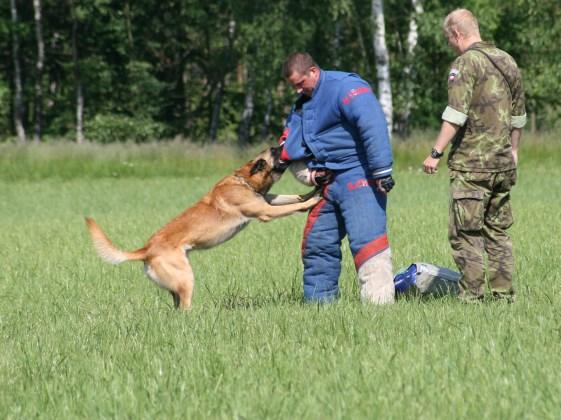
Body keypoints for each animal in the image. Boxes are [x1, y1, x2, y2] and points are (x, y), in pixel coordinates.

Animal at [84, 147, 320, 308]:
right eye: (276, 150)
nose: (287, 146)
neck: (243, 181)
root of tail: (145, 250)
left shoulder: (267, 199)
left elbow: (292, 197)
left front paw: (312, 192)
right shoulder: (265, 211)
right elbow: (293, 205)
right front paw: (313, 200)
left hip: (177, 282)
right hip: (186, 278)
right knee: (184, 307)